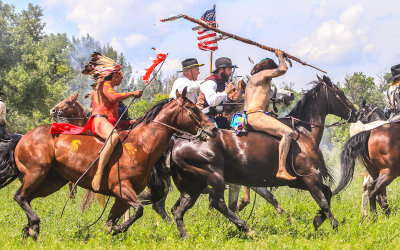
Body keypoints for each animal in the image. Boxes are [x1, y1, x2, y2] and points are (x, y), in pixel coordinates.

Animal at [0, 89, 217, 239]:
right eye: (193, 109)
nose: (213, 128)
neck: (141, 144)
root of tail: (22, 138)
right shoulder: (122, 189)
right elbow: (138, 210)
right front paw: (119, 229)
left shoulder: (122, 197)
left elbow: (115, 218)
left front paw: (112, 231)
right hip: (36, 173)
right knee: (20, 196)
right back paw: (34, 225)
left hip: (51, 181)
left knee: (26, 198)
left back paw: (30, 229)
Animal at [166, 75, 356, 237]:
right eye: (340, 93)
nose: (355, 113)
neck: (302, 134)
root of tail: (179, 143)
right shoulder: (310, 176)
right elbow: (323, 200)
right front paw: (332, 224)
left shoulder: (299, 180)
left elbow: (327, 192)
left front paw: (317, 219)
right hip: (214, 178)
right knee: (216, 202)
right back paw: (247, 228)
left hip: (193, 187)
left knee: (178, 210)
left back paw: (186, 236)